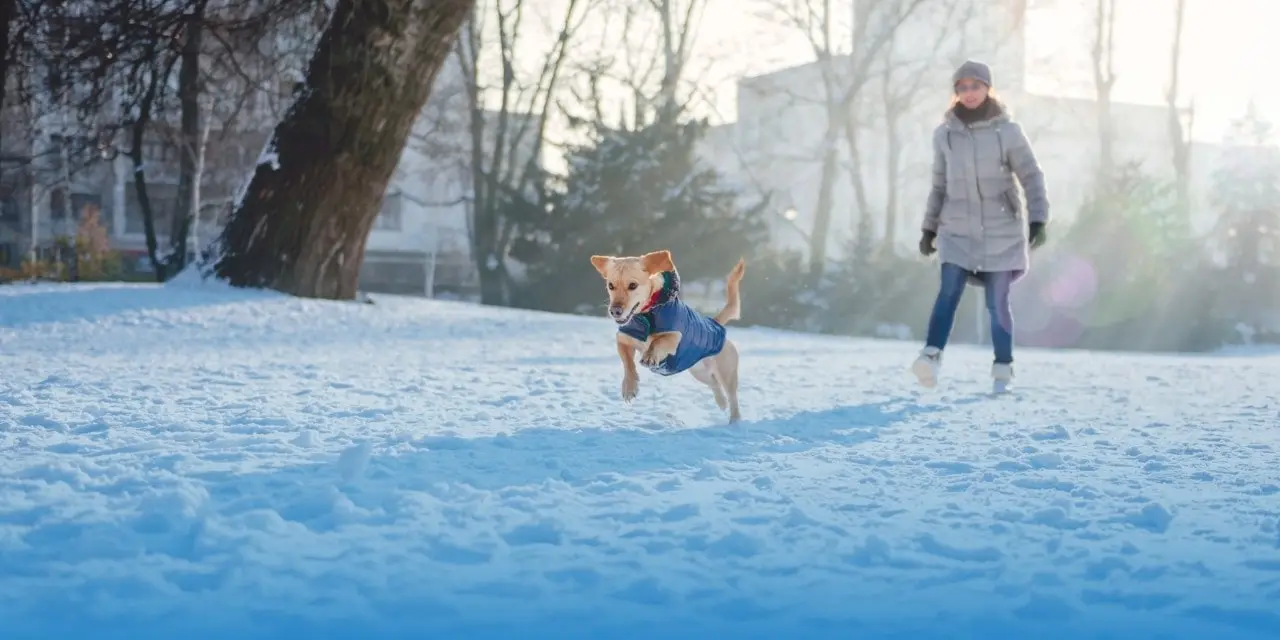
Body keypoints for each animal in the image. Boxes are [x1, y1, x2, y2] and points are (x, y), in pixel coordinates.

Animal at [586, 250, 747, 424]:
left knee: (732, 397)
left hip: (726, 373)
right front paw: (629, 387)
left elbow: (658, 342)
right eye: (611, 286)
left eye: (633, 285)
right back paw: (721, 402)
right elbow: (628, 363)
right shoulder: (622, 338)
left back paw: (734, 420)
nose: (615, 311)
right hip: (698, 372)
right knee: (714, 384)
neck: (647, 313)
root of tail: (715, 322)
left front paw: (650, 356)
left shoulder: (676, 336)